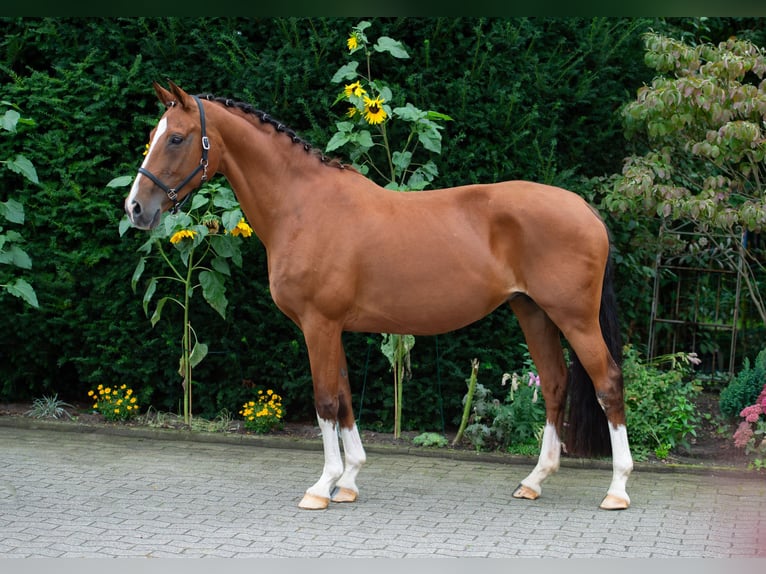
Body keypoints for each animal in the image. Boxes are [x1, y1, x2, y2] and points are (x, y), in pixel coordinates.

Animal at [123, 81, 632, 512]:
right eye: (152, 134)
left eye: (177, 138)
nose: (135, 208)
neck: (303, 206)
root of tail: (584, 208)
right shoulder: (332, 328)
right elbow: (345, 398)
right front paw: (348, 481)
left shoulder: (319, 324)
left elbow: (326, 401)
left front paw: (321, 487)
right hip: (534, 312)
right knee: (555, 384)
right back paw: (534, 481)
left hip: (574, 317)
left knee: (607, 382)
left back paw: (617, 489)